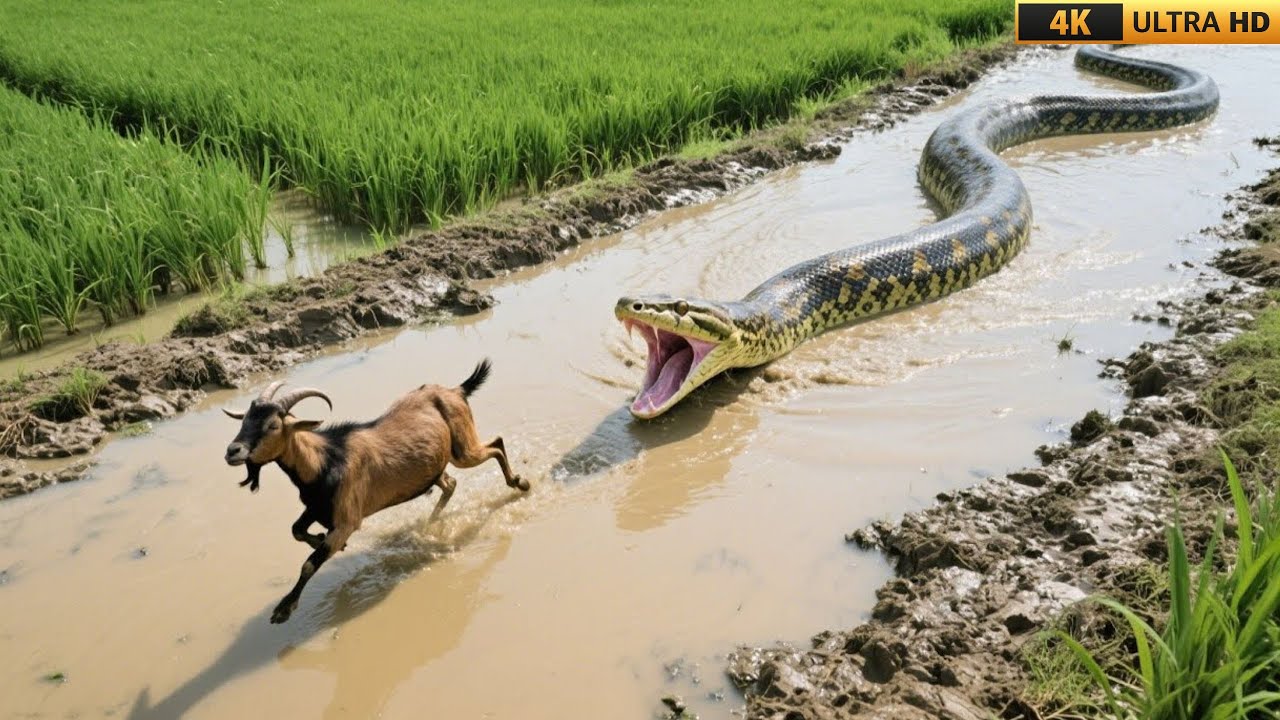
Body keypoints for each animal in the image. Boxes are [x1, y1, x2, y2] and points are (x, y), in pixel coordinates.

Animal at [222, 359, 526, 624]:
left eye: (273, 425)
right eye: (243, 420)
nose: (233, 451)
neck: (327, 459)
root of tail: (456, 390)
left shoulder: (347, 519)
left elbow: (310, 563)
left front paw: (284, 609)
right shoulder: (317, 507)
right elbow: (296, 530)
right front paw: (318, 539)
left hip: (463, 449)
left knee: (496, 445)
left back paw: (520, 483)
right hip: (434, 465)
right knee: (450, 483)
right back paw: (429, 524)